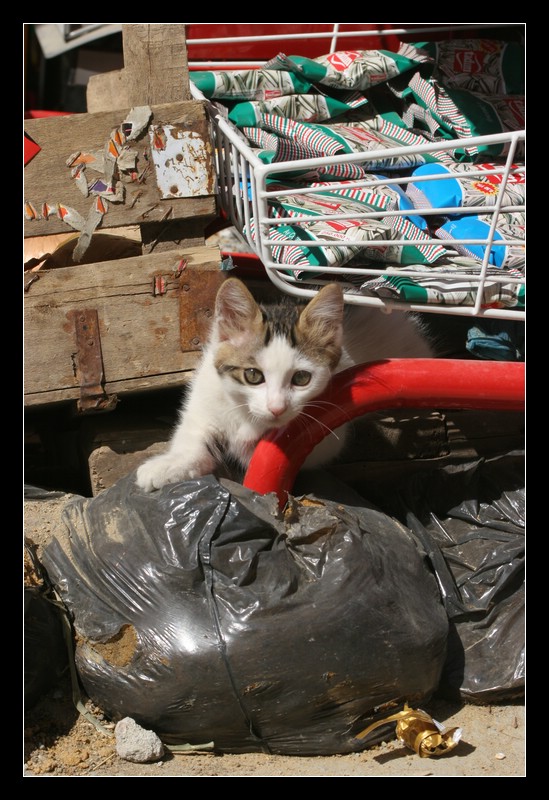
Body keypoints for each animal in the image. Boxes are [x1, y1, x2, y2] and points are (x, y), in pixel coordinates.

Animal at [134, 276, 432, 494]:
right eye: (253, 375)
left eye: (301, 379)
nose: (276, 408)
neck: (246, 415)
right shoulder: (206, 394)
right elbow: (193, 439)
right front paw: (168, 466)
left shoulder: (330, 425)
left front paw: (251, 446)